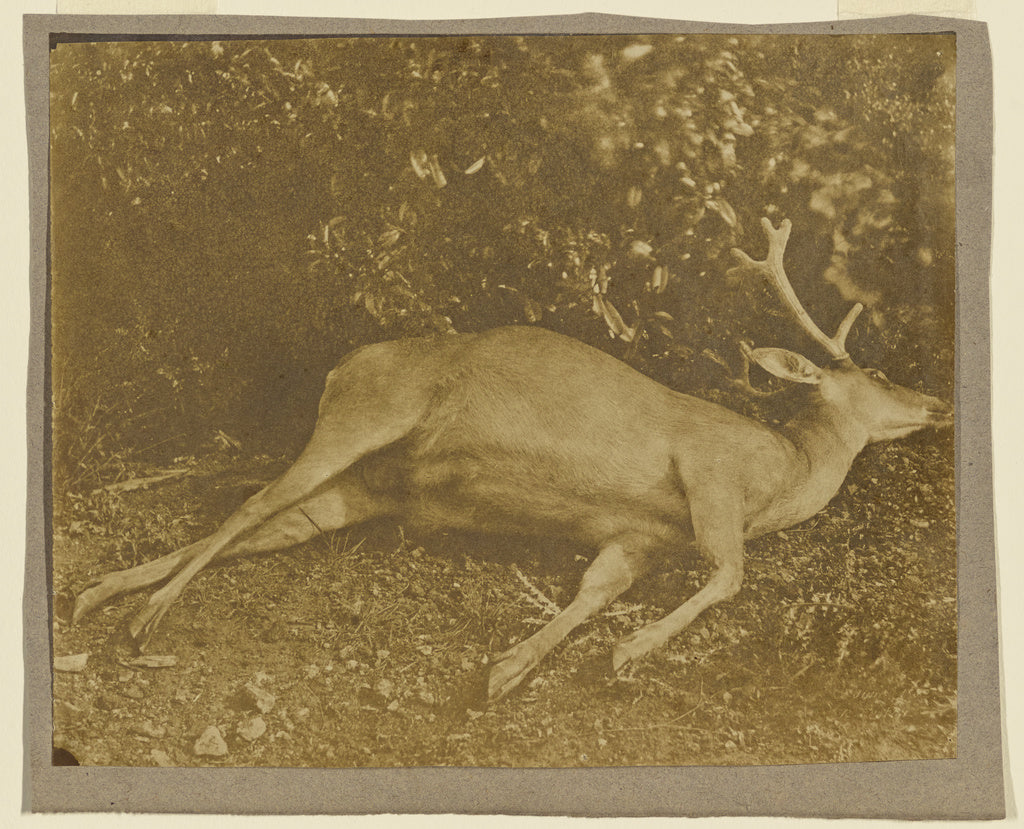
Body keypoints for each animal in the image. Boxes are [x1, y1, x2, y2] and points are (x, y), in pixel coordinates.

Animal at [71, 218, 953, 703]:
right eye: (877, 374)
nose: (938, 404)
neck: (781, 471)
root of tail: (341, 366)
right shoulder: (707, 470)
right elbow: (731, 573)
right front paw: (628, 652)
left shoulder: (638, 536)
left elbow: (594, 592)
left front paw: (508, 671)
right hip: (365, 415)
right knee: (251, 504)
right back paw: (142, 617)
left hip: (363, 490)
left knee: (263, 525)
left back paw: (96, 593)